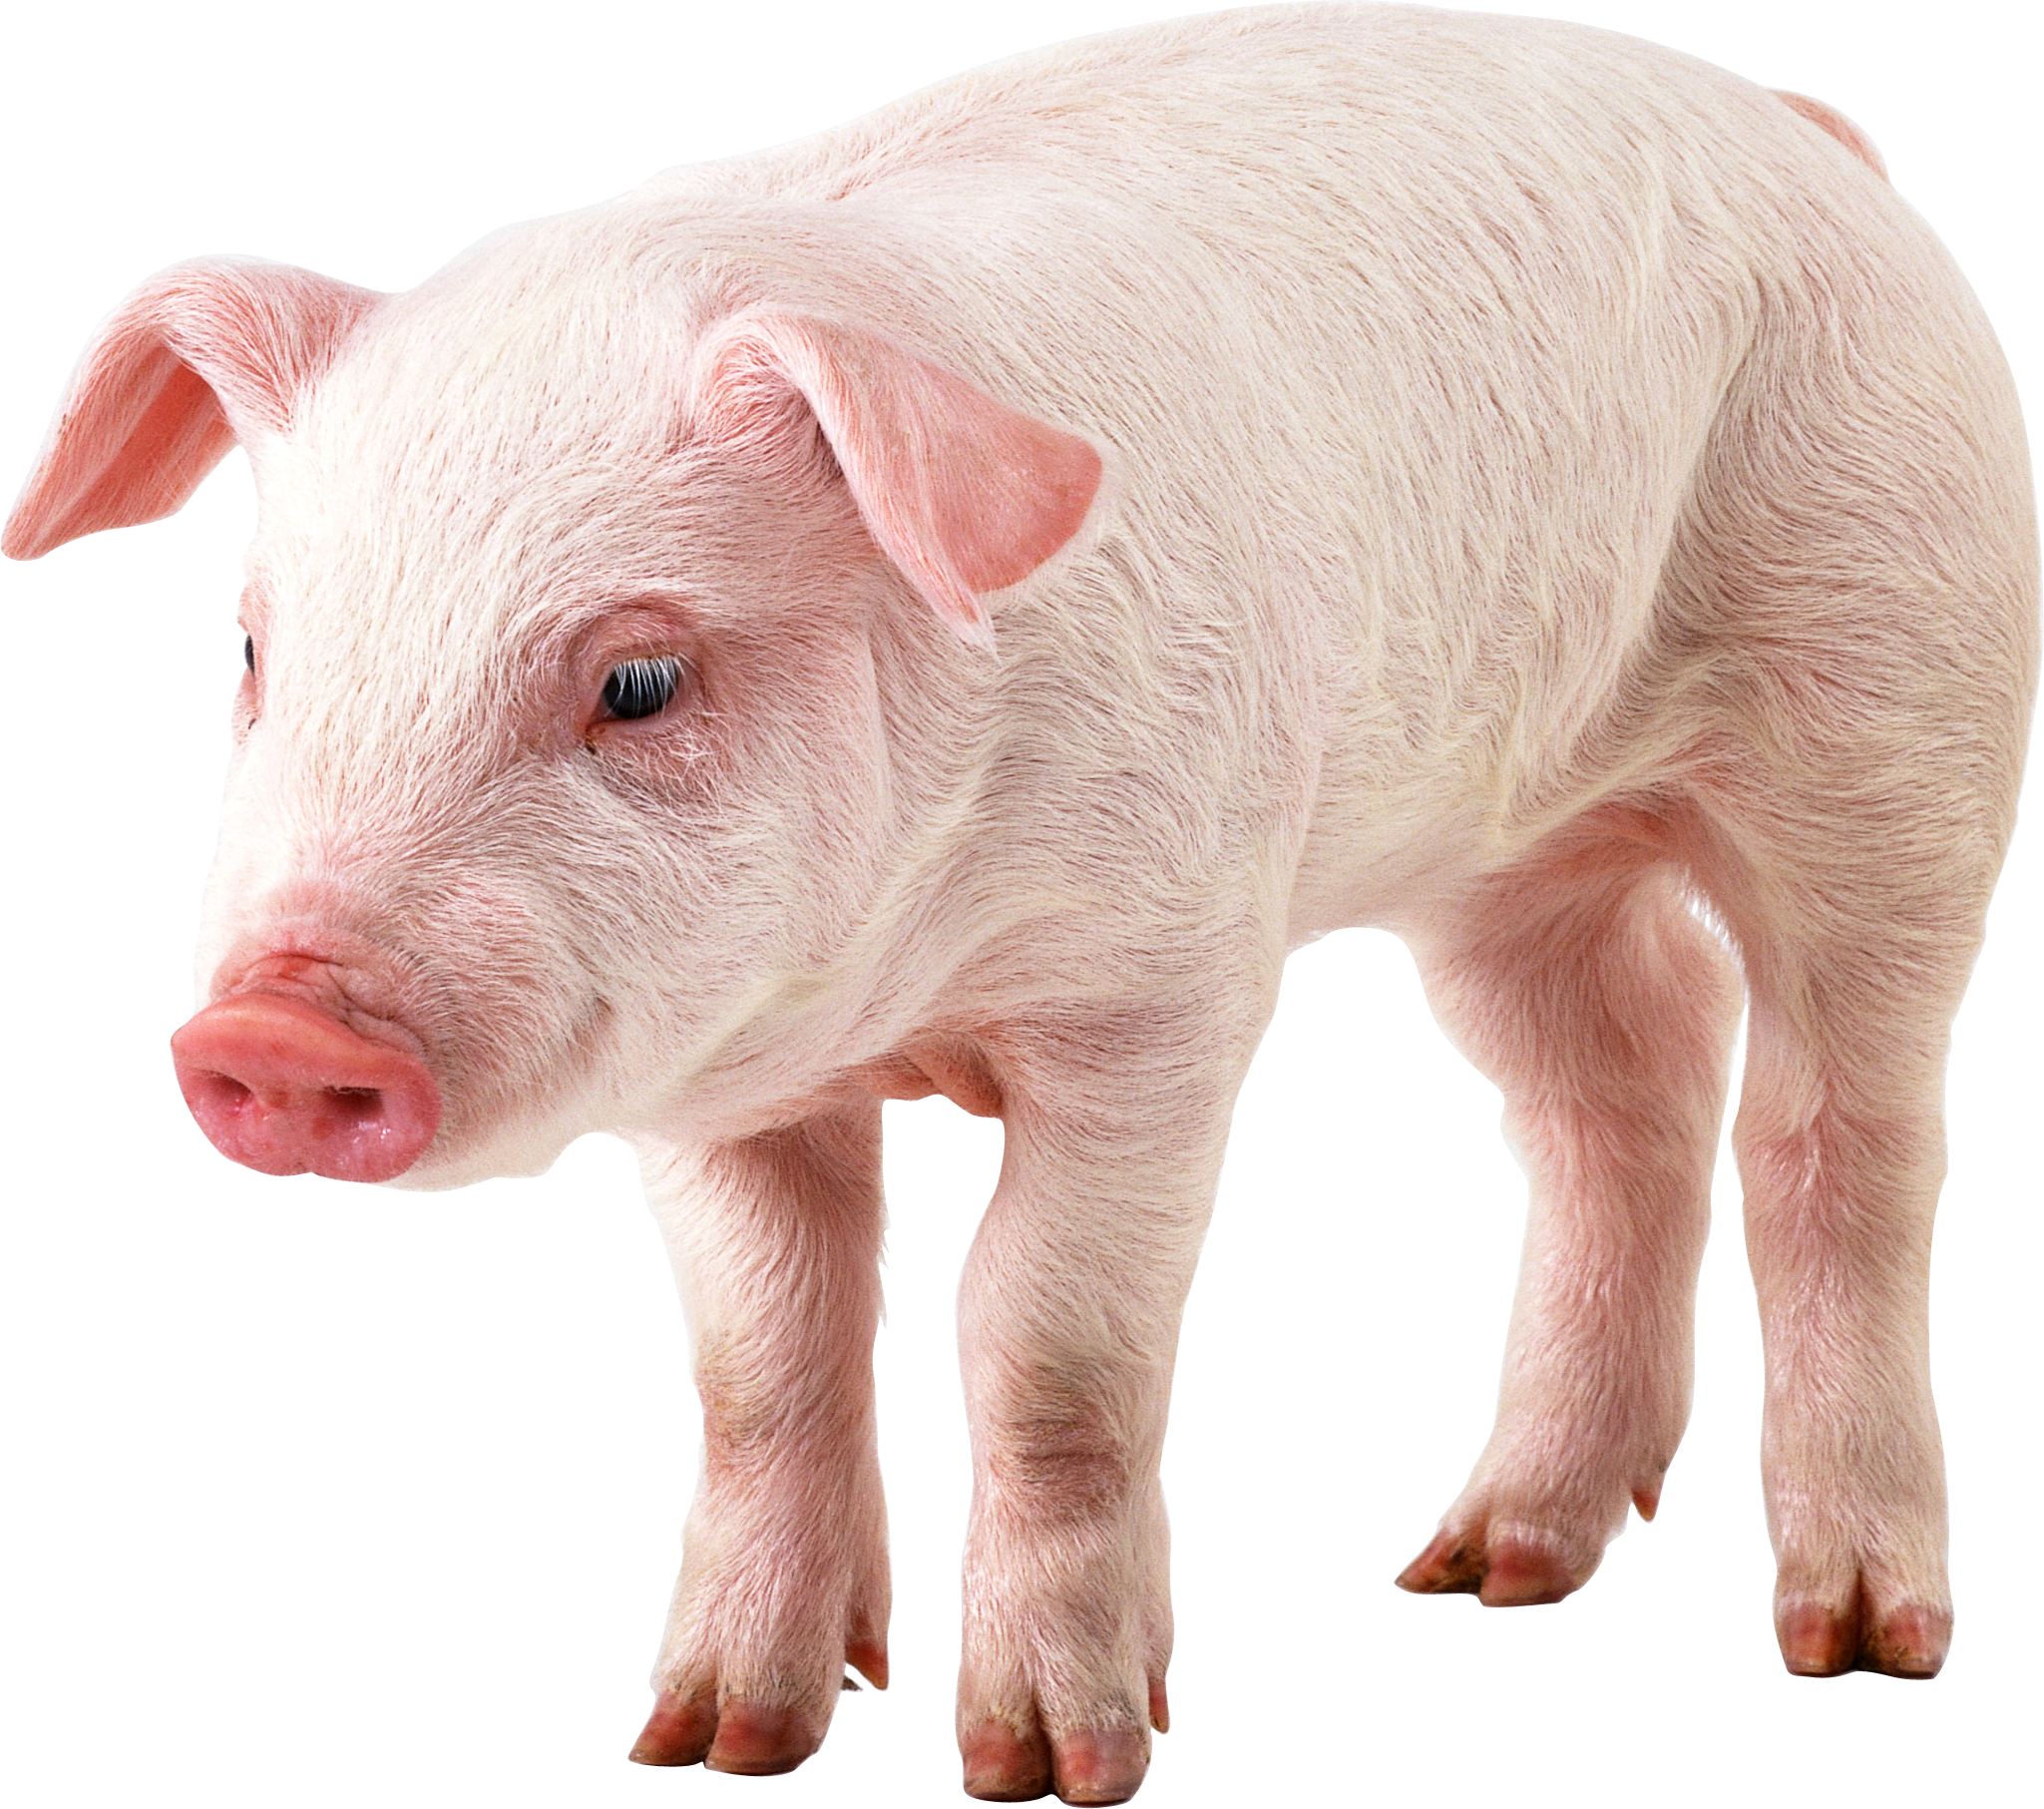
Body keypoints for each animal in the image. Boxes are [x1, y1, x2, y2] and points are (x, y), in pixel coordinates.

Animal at [5, 5, 2033, 1803]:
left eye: (639, 679)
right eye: (257, 651)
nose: (272, 1023)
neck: (902, 987)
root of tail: (1806, 133)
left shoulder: (1159, 988)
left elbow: (1045, 1343)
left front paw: (1049, 1769)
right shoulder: (714, 1077)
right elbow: (760, 1361)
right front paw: (712, 1740)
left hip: (1901, 695)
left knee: (1836, 1132)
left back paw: (1857, 1644)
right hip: (1503, 852)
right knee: (1626, 1077)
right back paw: (1481, 1572)